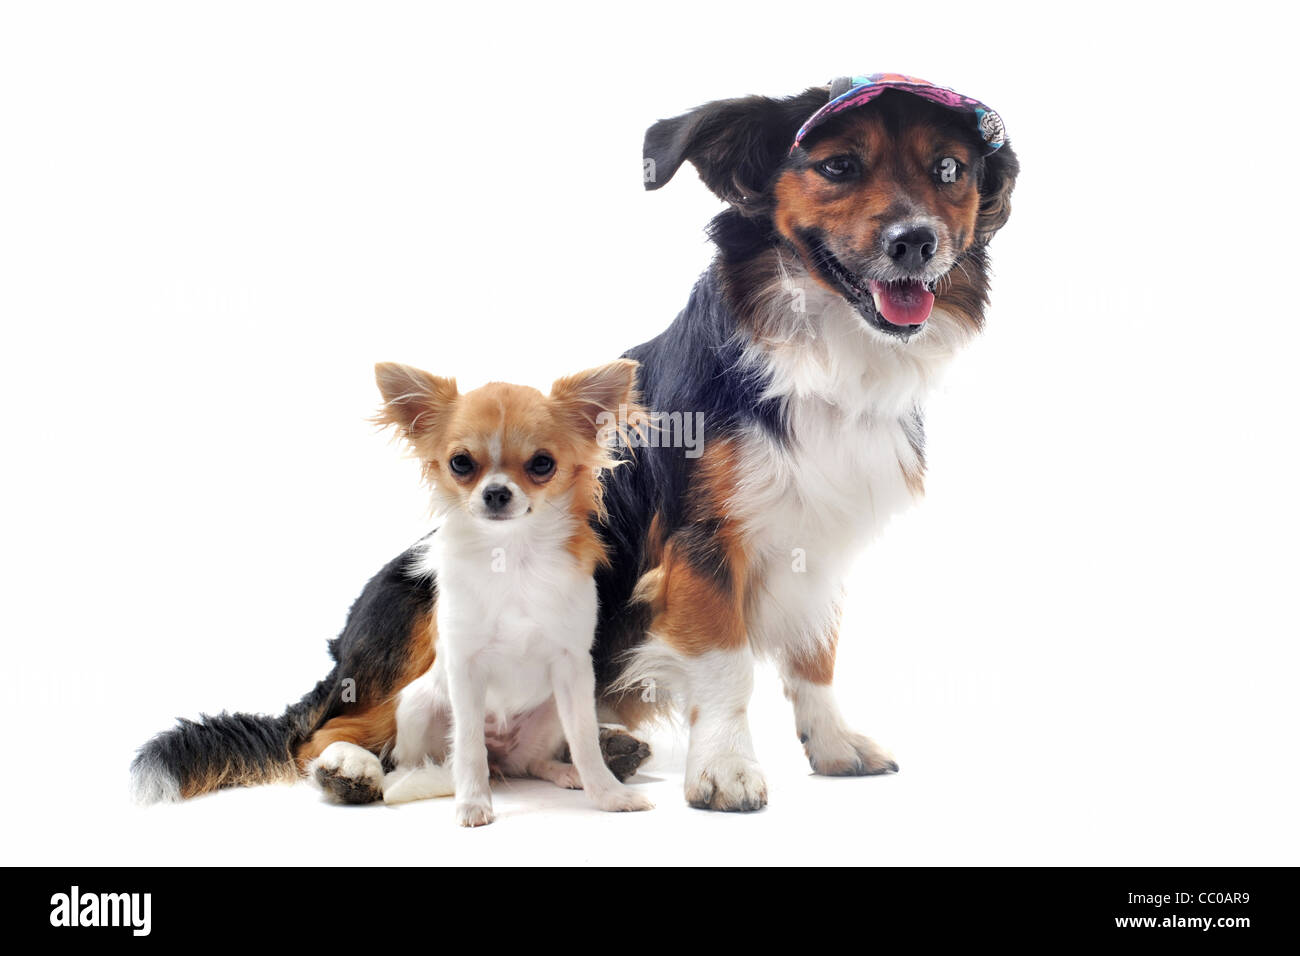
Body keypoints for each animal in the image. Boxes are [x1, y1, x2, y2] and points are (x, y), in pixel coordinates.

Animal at [137, 74, 1019, 811]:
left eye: (949, 170)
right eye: (837, 166)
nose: (916, 241)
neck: (818, 348)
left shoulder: (817, 542)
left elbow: (814, 658)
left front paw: (832, 745)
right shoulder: (702, 542)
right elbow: (727, 662)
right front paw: (726, 769)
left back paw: (605, 748)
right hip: (419, 607)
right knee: (330, 728)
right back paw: (350, 768)